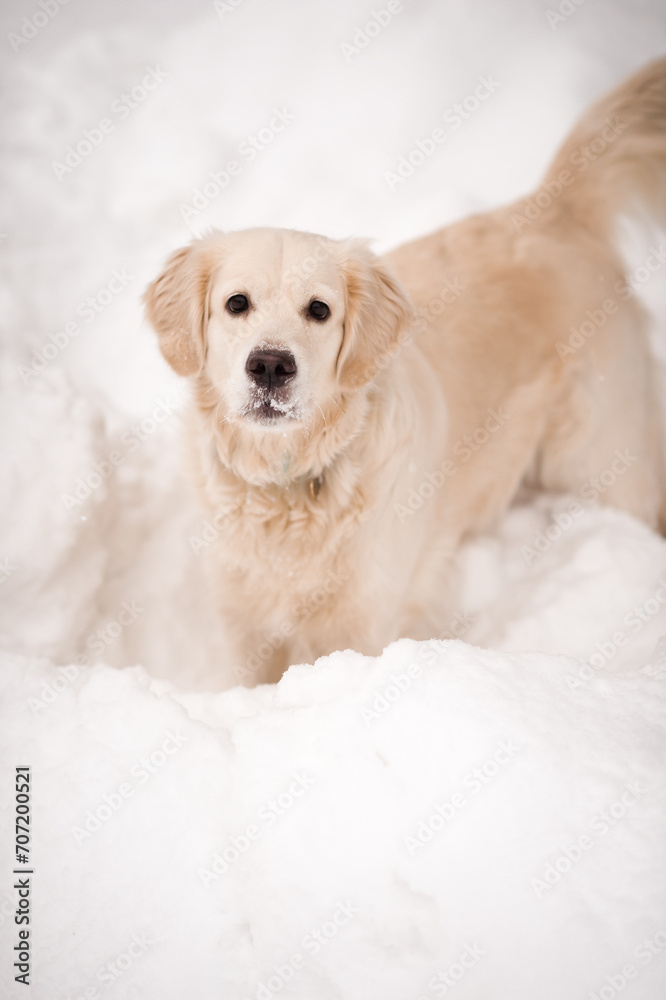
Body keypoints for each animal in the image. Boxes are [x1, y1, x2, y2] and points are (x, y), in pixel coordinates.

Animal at [145, 58, 664, 684]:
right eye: (236, 303)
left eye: (319, 310)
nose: (270, 365)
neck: (292, 487)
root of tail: (556, 209)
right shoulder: (245, 625)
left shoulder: (363, 626)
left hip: (599, 456)